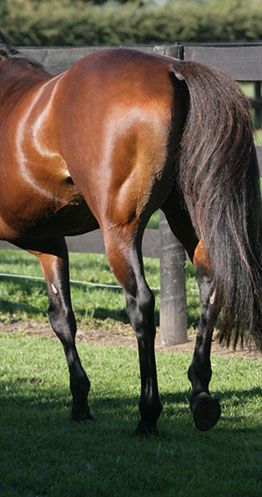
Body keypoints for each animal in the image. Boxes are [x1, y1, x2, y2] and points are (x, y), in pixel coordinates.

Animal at [0, 32, 262, 434]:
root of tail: (175, 68)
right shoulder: (50, 244)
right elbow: (62, 318)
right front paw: (79, 402)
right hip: (187, 217)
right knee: (211, 286)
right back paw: (201, 396)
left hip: (121, 231)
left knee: (141, 304)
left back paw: (147, 414)